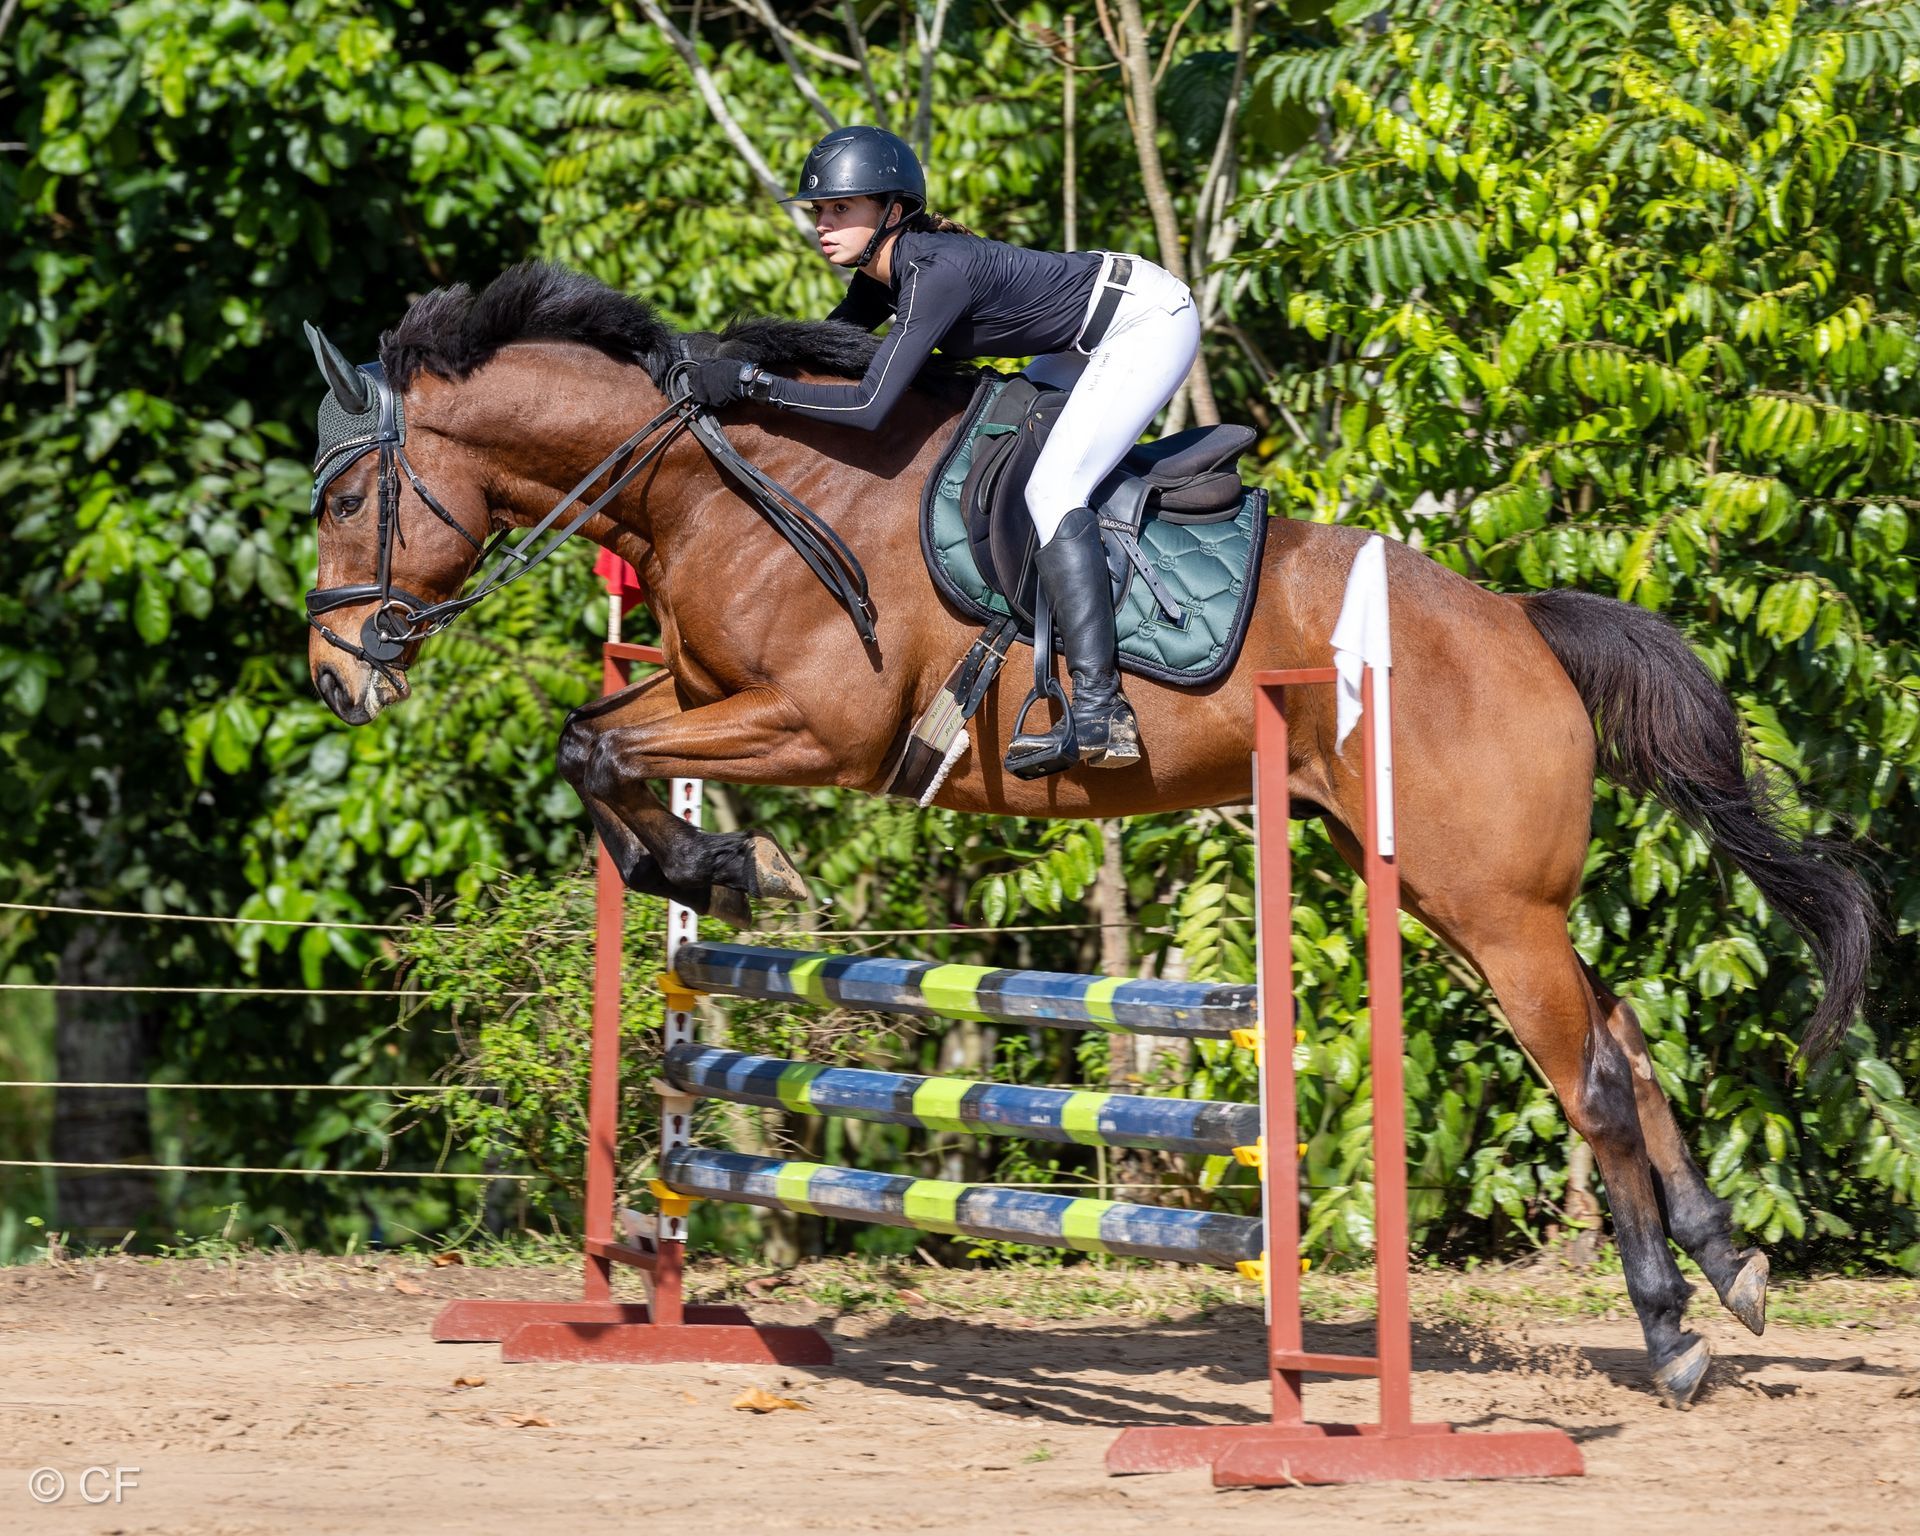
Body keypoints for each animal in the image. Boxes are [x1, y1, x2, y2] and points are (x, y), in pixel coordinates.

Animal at [303, 262, 1873, 1408]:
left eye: (347, 496)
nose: (334, 677)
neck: (719, 484)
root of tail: (1524, 625)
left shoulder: (818, 722)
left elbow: (604, 747)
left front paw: (726, 865)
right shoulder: (702, 694)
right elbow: (597, 741)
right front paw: (701, 865)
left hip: (1490, 903)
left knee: (1591, 1077)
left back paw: (1673, 1335)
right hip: (1454, 895)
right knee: (1625, 1034)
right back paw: (1729, 1266)